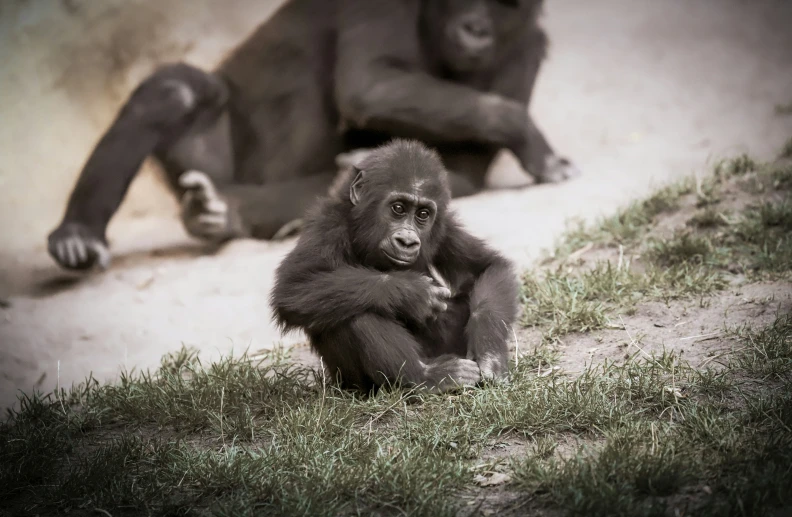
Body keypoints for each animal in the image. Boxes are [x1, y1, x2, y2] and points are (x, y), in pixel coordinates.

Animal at [51, 0, 580, 272]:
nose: (476, 28)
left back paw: (225, 212)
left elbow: (460, 172)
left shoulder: (525, 43)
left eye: (505, 4)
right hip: (206, 156)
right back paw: (78, 233)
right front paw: (527, 132)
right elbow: (371, 83)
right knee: (174, 90)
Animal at [272, 138, 520, 392]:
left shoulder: (446, 227)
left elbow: (488, 267)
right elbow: (294, 286)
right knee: (352, 308)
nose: (407, 241)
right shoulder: (326, 225)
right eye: (398, 208)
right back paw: (426, 377)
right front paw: (413, 292)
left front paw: (489, 352)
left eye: (423, 214)